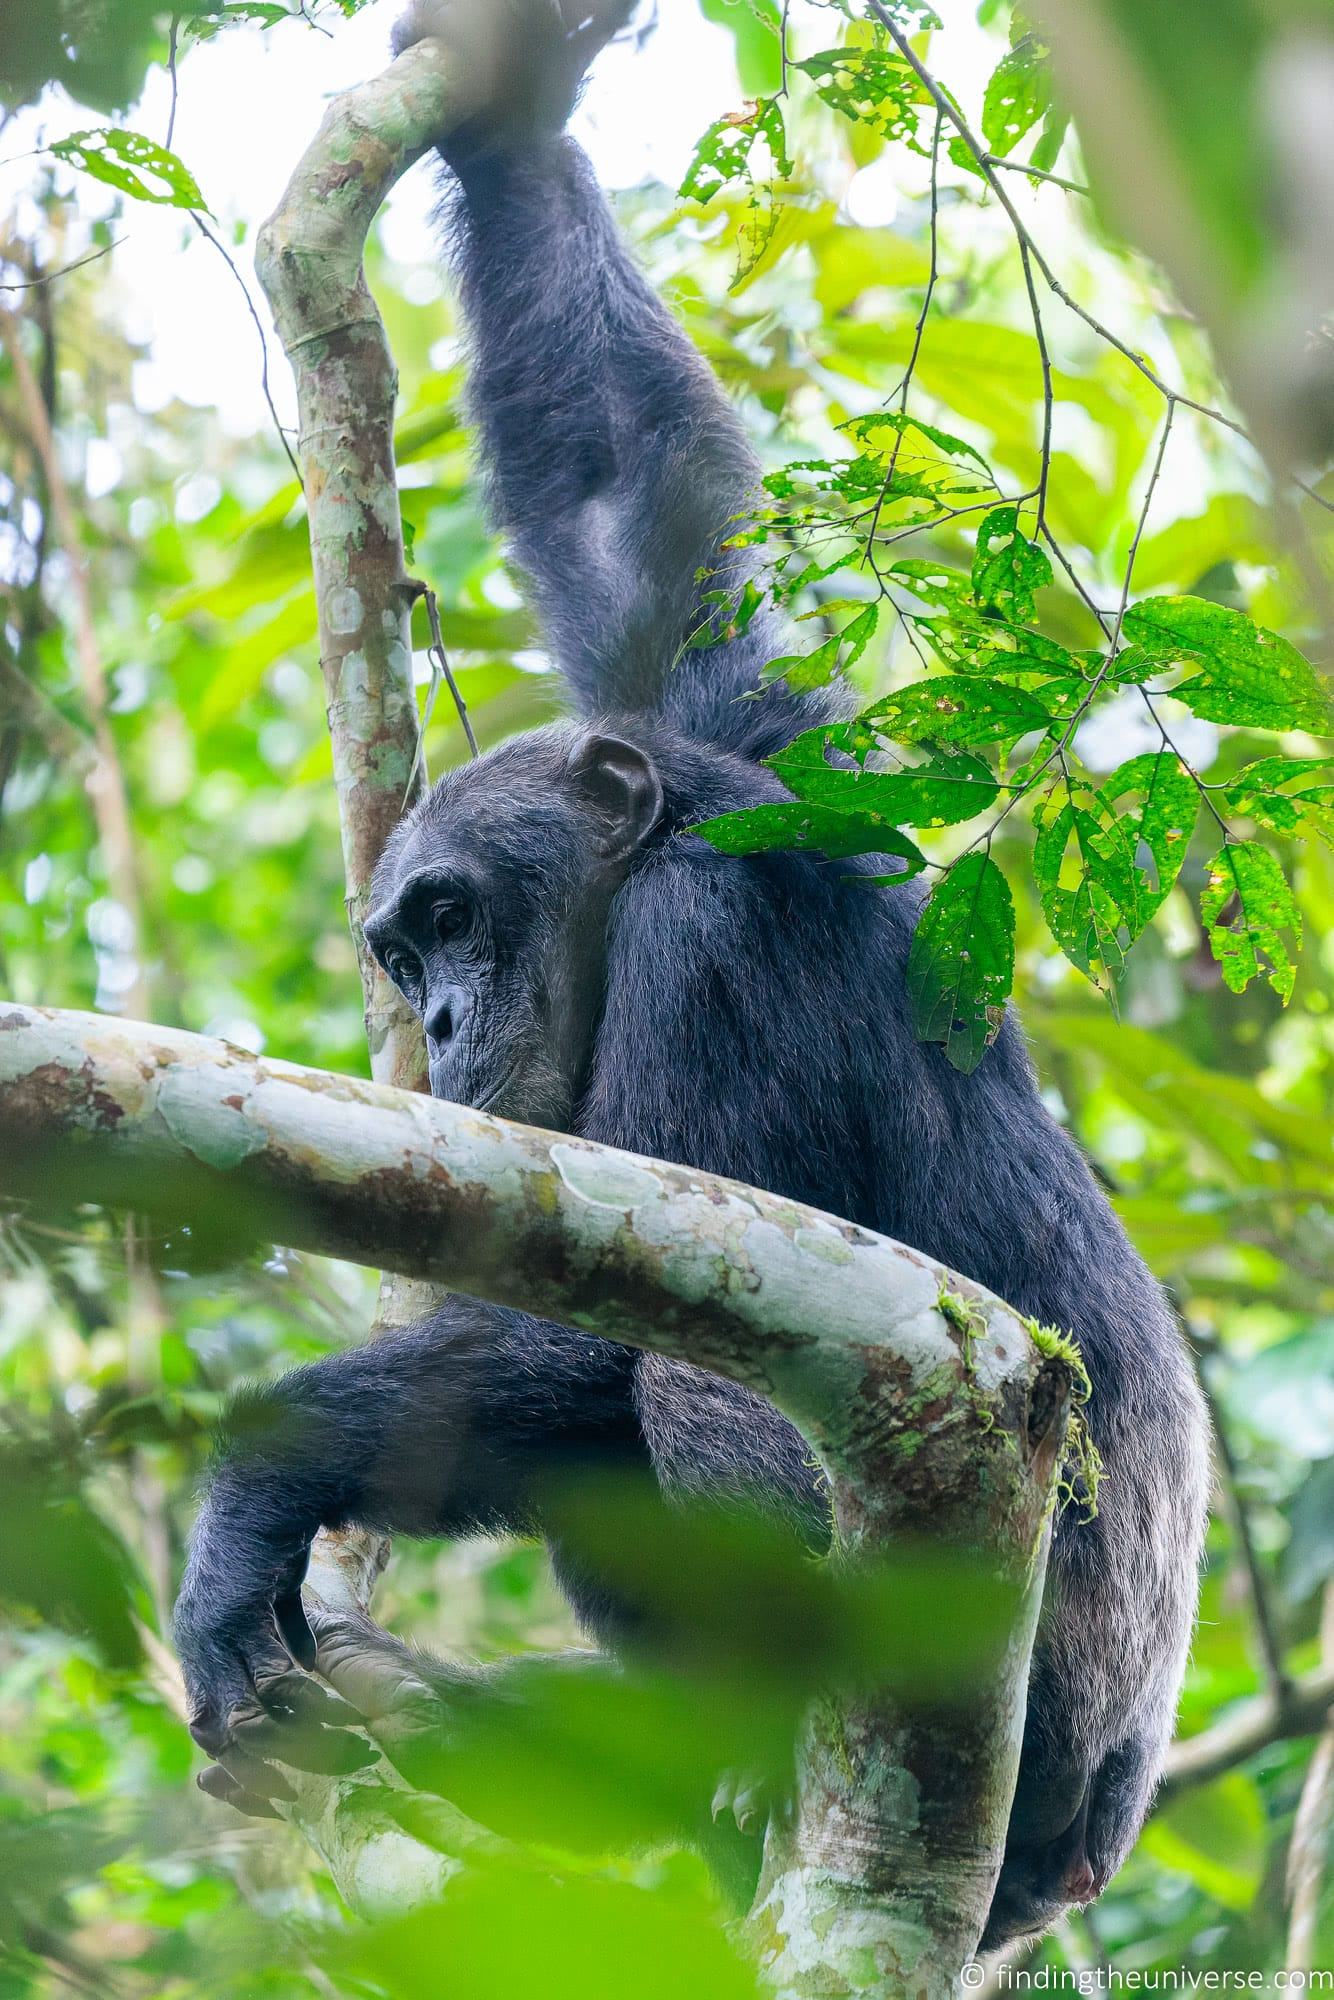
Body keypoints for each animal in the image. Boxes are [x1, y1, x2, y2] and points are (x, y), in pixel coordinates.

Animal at [175, 0, 1208, 1936]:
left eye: (451, 920)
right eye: (400, 947)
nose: (439, 1019)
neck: (655, 854)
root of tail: (1093, 1835)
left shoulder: (713, 947)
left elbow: (669, 1311)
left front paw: (244, 1492)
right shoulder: (761, 732)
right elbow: (627, 498)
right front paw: (504, 102)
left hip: (1026, 1715)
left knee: (690, 1389)